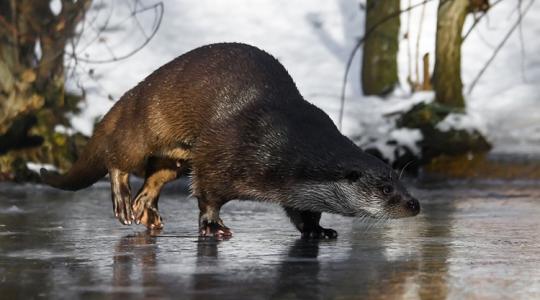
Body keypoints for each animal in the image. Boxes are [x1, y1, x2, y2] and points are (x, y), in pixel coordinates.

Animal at [42, 42, 422, 239]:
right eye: (385, 189)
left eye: (400, 181)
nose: (414, 204)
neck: (282, 147)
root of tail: (135, 90)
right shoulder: (222, 154)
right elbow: (208, 193)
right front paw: (212, 225)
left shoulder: (296, 188)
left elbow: (303, 212)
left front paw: (319, 230)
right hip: (145, 123)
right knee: (119, 158)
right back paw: (124, 201)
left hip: (175, 157)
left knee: (156, 175)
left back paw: (146, 208)